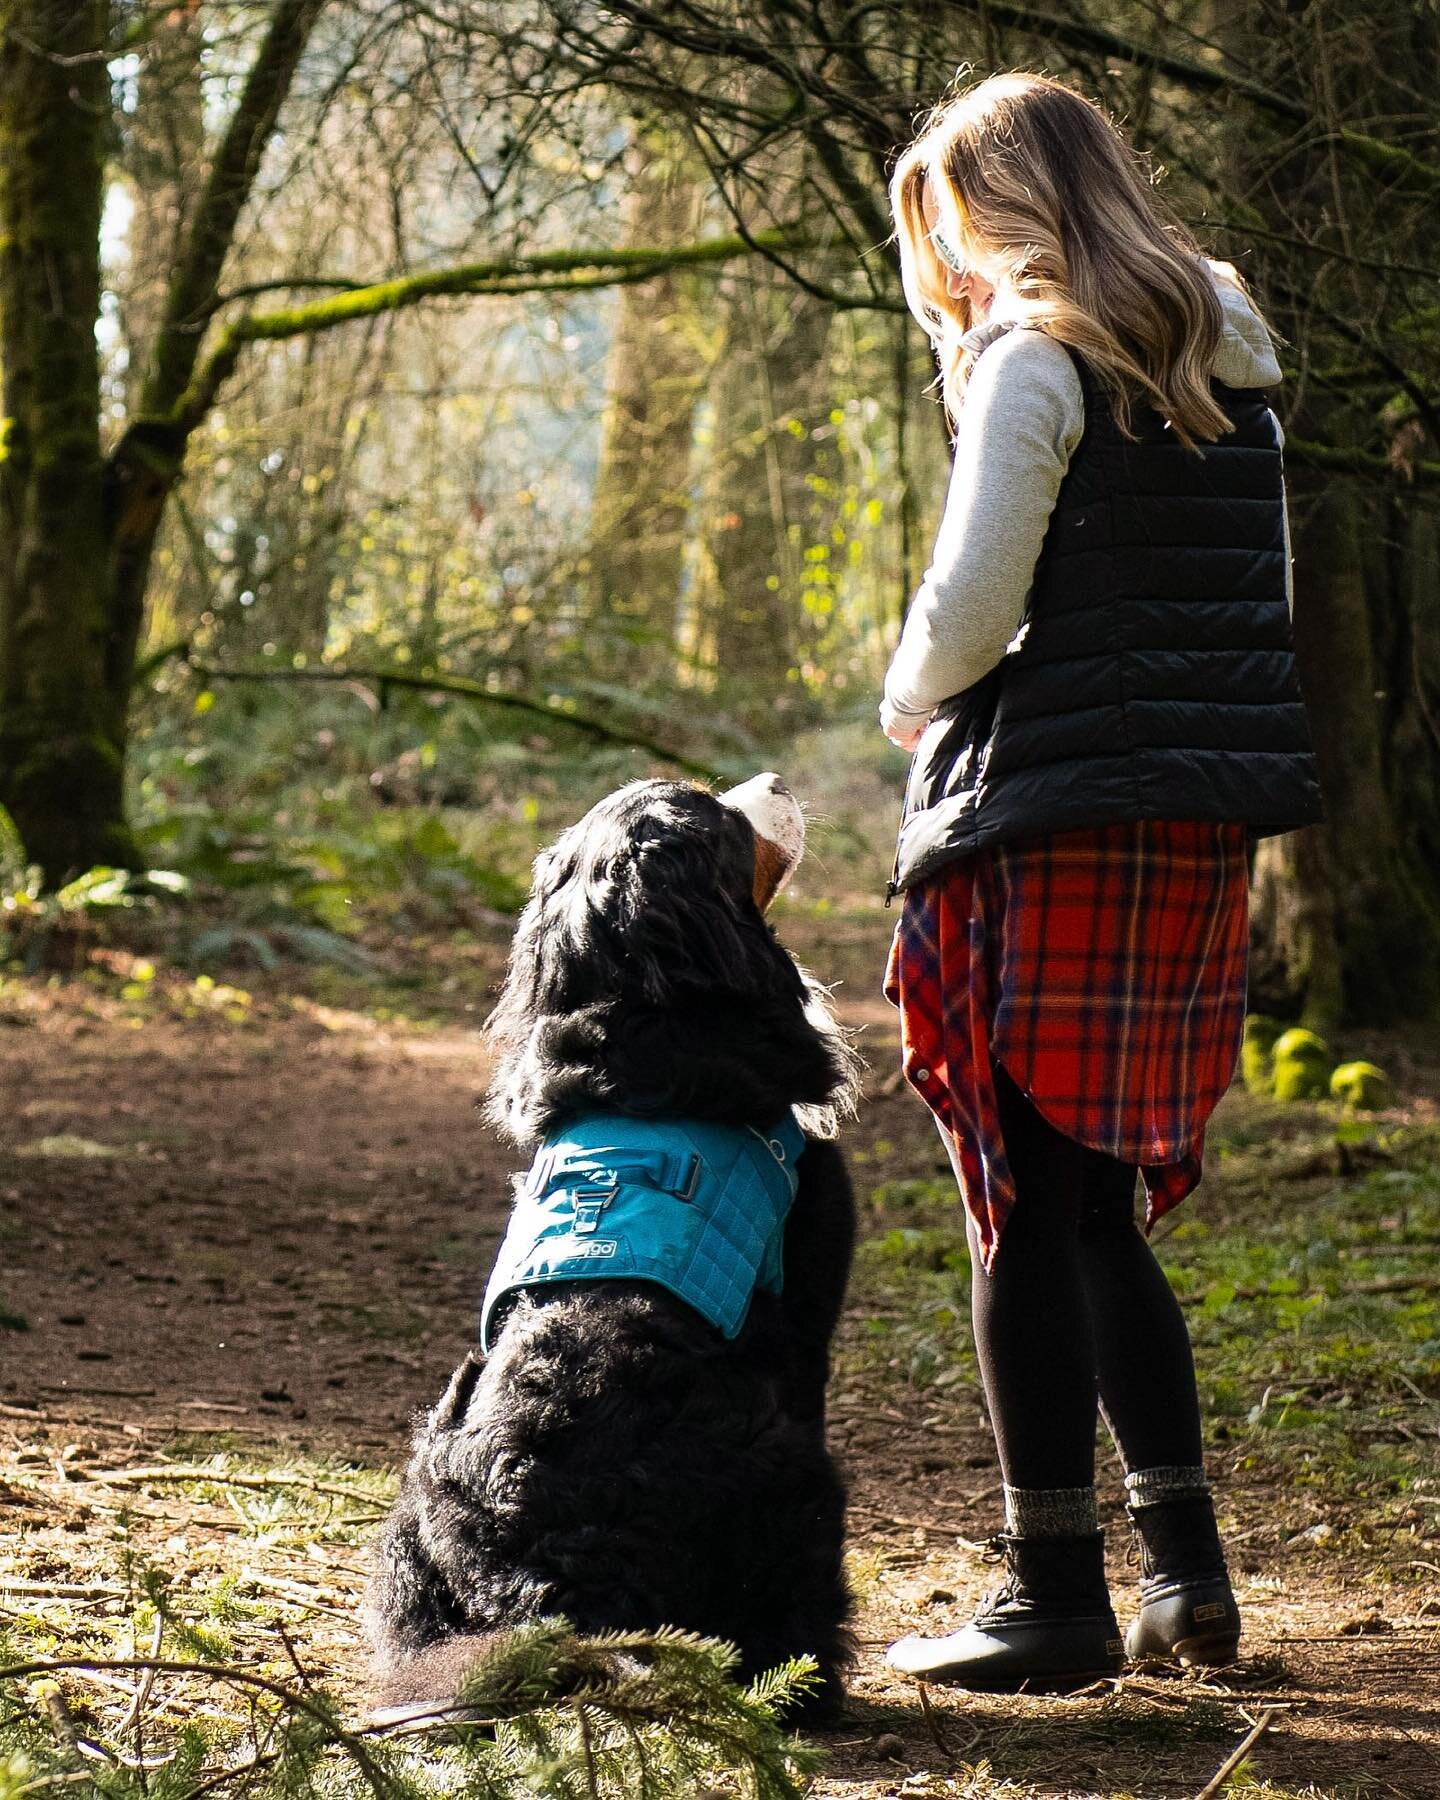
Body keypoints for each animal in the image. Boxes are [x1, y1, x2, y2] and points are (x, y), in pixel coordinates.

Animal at [370, 777, 860, 1728]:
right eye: (721, 816)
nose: (776, 782)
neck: (641, 1036)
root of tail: (542, 1594)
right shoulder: (810, 1305)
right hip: (797, 1477)